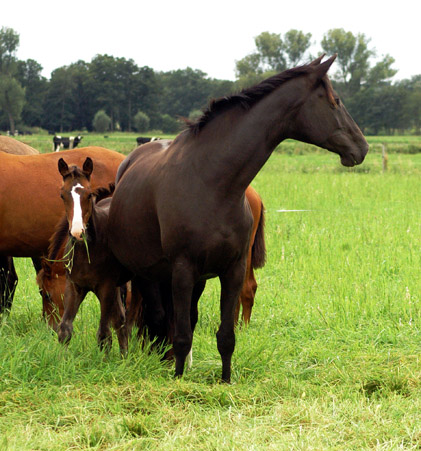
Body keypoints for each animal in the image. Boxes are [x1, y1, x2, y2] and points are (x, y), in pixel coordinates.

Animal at [107, 54, 368, 384]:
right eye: (335, 101)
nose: (362, 147)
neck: (212, 183)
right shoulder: (182, 270)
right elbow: (181, 334)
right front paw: (179, 380)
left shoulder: (232, 269)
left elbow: (225, 336)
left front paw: (225, 381)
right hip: (148, 274)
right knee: (158, 317)